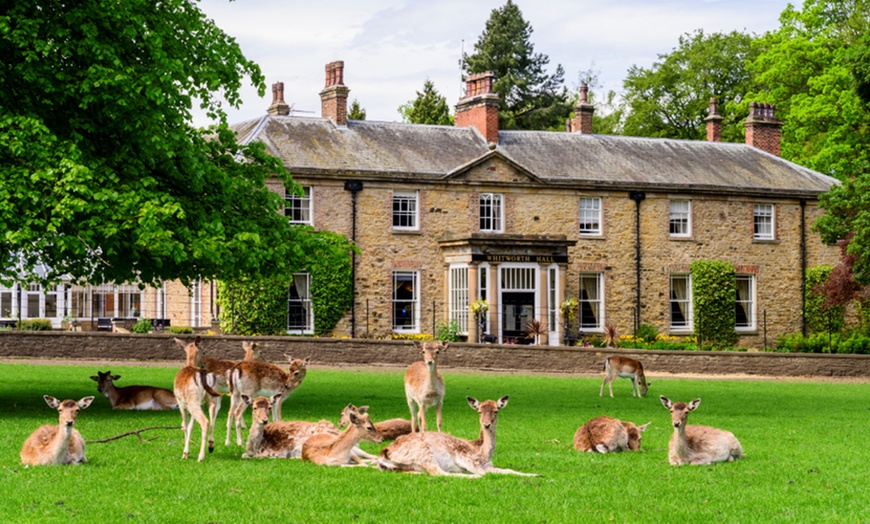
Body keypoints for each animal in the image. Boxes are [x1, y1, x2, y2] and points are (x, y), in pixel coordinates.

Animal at [380, 396, 540, 476]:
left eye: (496, 411)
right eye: (479, 411)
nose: (486, 425)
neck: (482, 453)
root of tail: (384, 454)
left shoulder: (488, 465)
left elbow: (507, 470)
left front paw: (537, 475)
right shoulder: (467, 459)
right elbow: (486, 473)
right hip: (424, 453)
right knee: (439, 473)